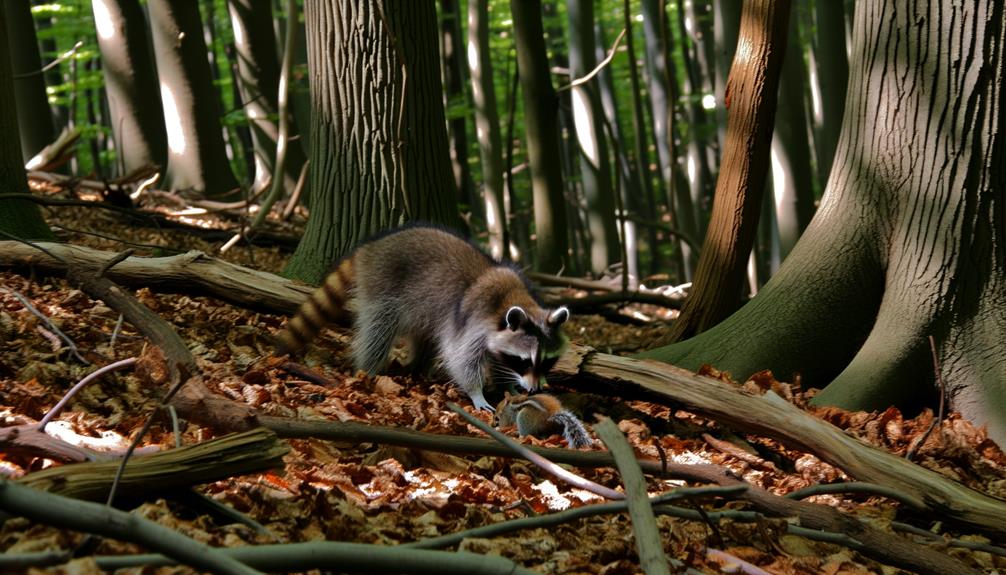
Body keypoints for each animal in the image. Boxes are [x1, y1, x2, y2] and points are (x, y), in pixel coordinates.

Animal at [279, 227, 571, 410]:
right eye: (525, 361)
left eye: (547, 361)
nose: (534, 390)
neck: (514, 298)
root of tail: (371, 247)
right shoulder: (474, 320)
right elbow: (461, 357)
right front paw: (477, 392)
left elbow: (495, 359)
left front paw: (509, 386)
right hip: (383, 284)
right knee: (378, 330)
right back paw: (370, 368)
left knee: (426, 335)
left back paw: (418, 366)